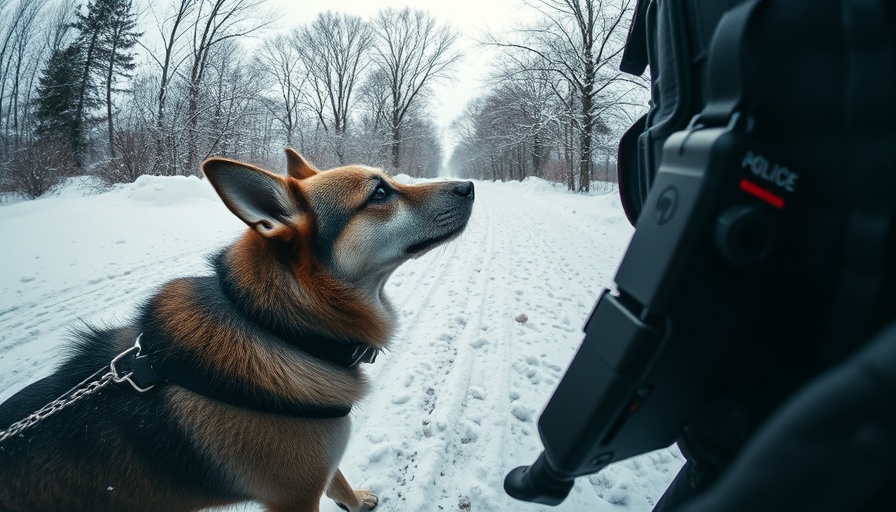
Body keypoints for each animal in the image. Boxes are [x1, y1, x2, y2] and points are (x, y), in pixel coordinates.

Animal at [0, 148, 476, 512]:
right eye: (379, 192)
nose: (469, 185)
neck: (278, 327)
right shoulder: (294, 498)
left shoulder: (319, 468)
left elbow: (337, 480)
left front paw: (355, 501)